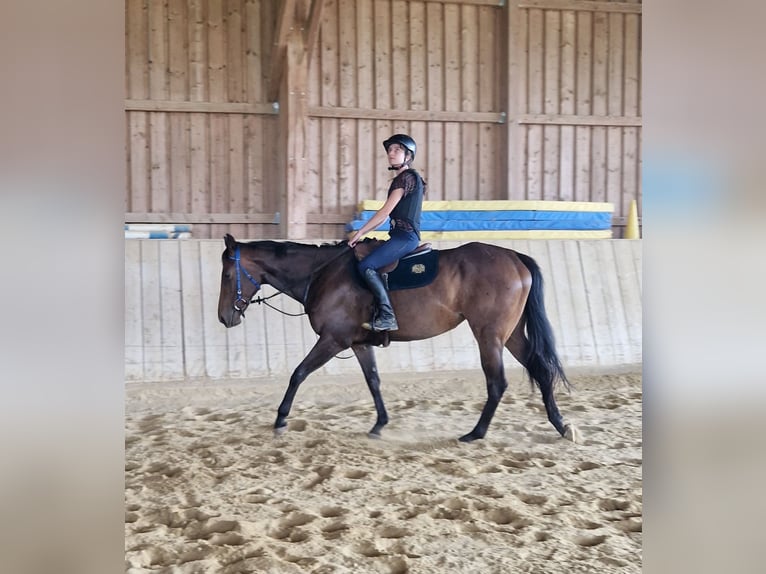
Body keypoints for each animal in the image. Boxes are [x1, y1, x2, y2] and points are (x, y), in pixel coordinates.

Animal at [214, 234, 576, 446]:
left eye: (228, 275)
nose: (224, 317)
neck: (322, 274)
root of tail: (515, 257)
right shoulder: (358, 343)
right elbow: (373, 381)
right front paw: (380, 424)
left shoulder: (333, 339)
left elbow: (298, 374)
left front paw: (280, 419)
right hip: (510, 334)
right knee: (541, 370)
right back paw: (561, 426)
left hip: (489, 335)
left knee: (497, 382)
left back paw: (476, 433)